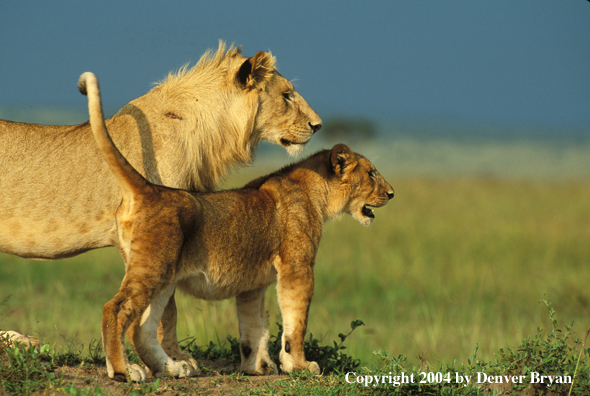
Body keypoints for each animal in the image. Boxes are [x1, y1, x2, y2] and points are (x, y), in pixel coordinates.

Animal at [77, 72, 394, 382]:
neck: (318, 193)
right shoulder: (297, 267)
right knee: (115, 309)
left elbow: (255, 326)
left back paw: (173, 369)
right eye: (371, 173)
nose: (392, 193)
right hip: (152, 268)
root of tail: (150, 189)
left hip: (165, 278)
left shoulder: (253, 284)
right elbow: (296, 322)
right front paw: (300, 365)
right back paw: (123, 371)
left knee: (142, 328)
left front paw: (258, 367)